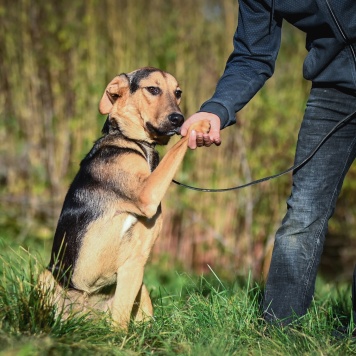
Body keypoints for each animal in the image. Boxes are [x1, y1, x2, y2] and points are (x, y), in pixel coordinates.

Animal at [38, 68, 211, 330]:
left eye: (178, 92)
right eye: (153, 89)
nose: (179, 119)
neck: (134, 141)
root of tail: (83, 320)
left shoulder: (136, 261)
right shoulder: (147, 194)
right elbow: (176, 148)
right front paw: (200, 123)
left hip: (143, 290)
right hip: (46, 275)